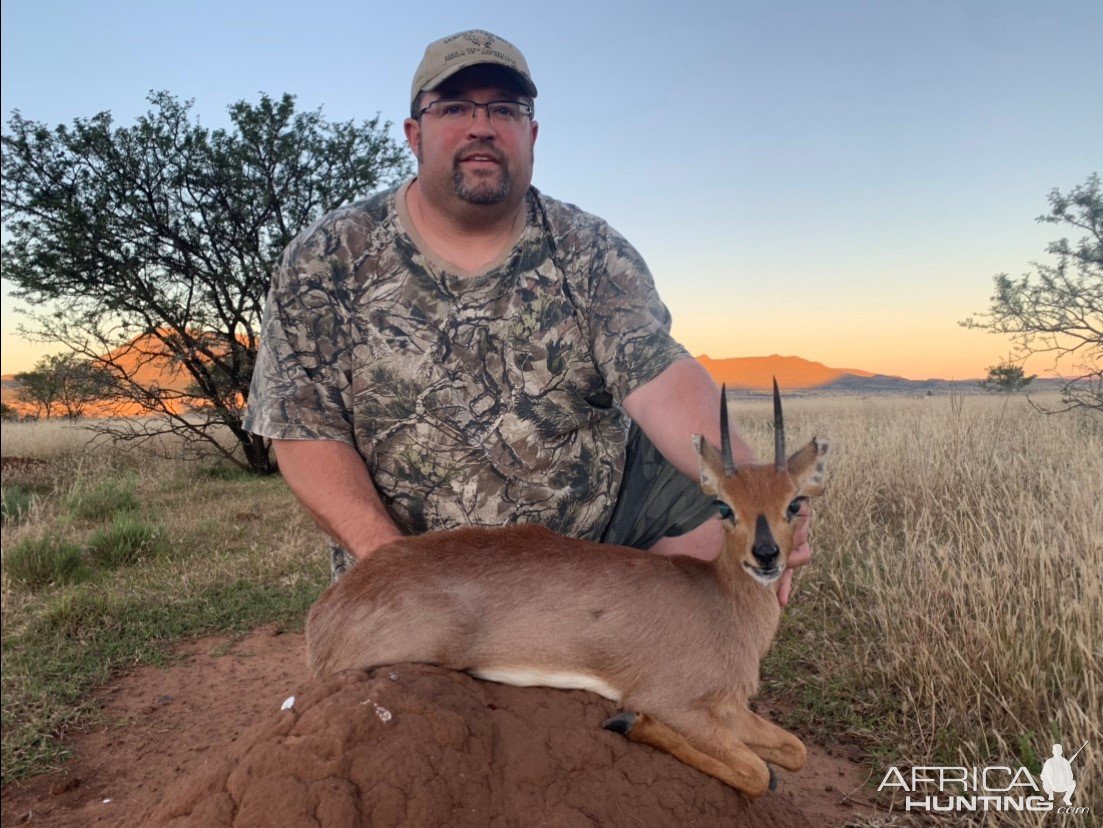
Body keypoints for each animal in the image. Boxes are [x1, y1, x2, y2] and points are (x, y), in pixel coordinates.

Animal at [304, 381, 829, 798]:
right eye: (724, 507)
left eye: (795, 503)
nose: (766, 555)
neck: (719, 601)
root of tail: (327, 612)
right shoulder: (674, 702)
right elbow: (756, 772)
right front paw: (630, 724)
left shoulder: (729, 707)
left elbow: (796, 751)